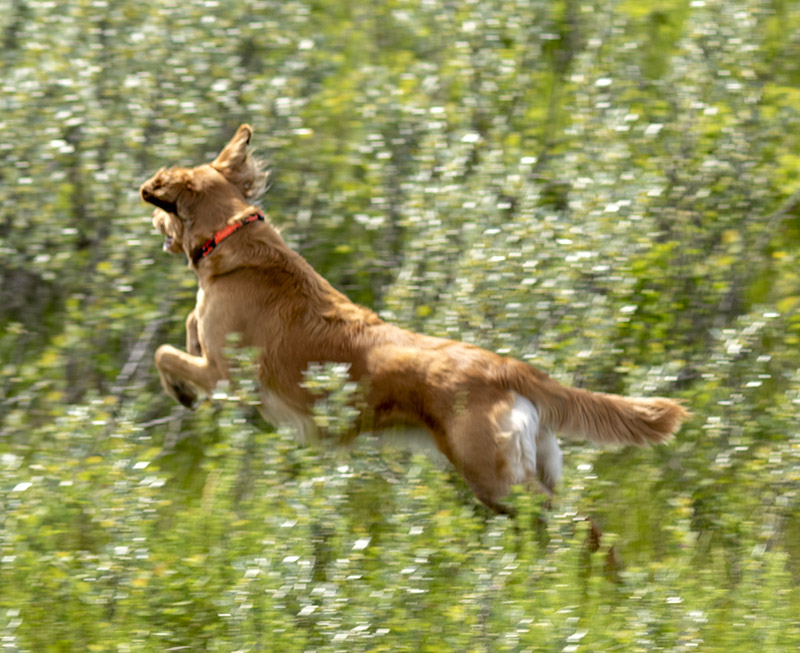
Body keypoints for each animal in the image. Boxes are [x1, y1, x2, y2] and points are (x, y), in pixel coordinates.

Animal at [139, 123, 688, 516]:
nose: (153, 220)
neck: (233, 237)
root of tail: (513, 369)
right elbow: (185, 328)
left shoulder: (223, 375)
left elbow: (165, 353)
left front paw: (180, 393)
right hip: (529, 468)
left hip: (493, 476)